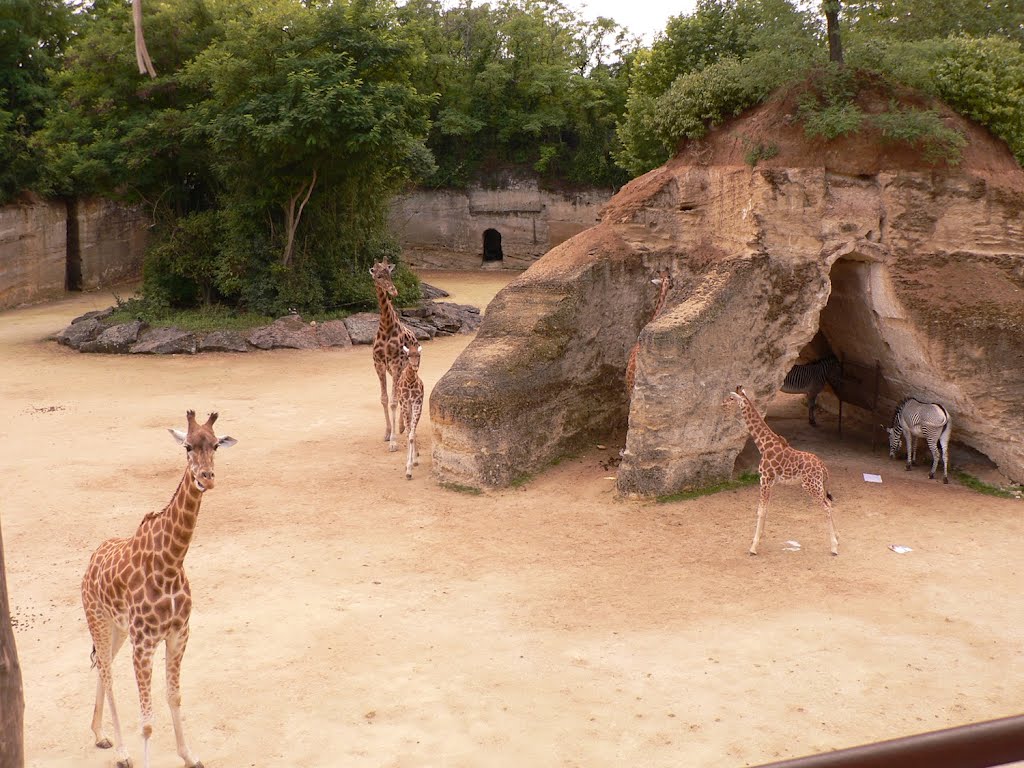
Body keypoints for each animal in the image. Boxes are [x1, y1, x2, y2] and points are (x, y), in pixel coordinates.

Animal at [80, 411, 236, 768]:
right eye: (188, 446)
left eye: (215, 445)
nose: (206, 478)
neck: (171, 561)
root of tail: (91, 561)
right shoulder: (144, 643)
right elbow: (148, 721)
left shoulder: (178, 634)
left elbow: (174, 696)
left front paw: (190, 756)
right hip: (98, 619)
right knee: (107, 673)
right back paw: (122, 752)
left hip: (117, 628)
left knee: (103, 667)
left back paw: (100, 735)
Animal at [370, 262, 417, 448]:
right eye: (378, 276)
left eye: (390, 274)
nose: (394, 291)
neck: (386, 327)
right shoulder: (379, 365)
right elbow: (384, 399)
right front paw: (387, 433)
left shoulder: (396, 364)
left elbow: (394, 401)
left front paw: (393, 441)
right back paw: (403, 426)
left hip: (407, 369)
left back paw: (405, 427)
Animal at [720, 387, 839, 557]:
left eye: (731, 398)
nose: (722, 403)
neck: (763, 445)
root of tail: (823, 467)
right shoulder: (771, 482)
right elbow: (766, 508)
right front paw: (760, 539)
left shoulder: (764, 478)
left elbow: (760, 510)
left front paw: (753, 547)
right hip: (818, 486)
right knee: (829, 503)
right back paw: (837, 539)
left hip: (811, 486)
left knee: (827, 507)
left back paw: (834, 547)